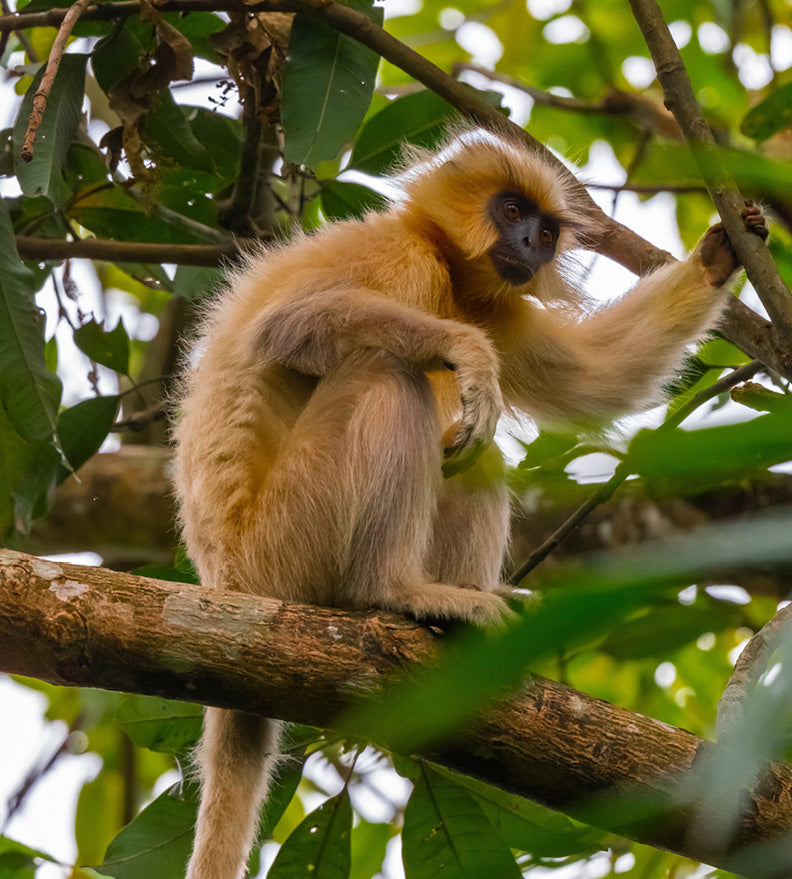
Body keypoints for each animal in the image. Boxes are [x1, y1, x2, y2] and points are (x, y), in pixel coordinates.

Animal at [173, 132, 768, 879]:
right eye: (511, 209)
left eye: (546, 232)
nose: (531, 241)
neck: (447, 269)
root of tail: (224, 581)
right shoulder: (397, 256)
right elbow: (287, 327)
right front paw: (467, 352)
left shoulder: (494, 300)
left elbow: (592, 377)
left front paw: (719, 255)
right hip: (284, 548)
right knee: (387, 373)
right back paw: (395, 590)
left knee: (472, 450)